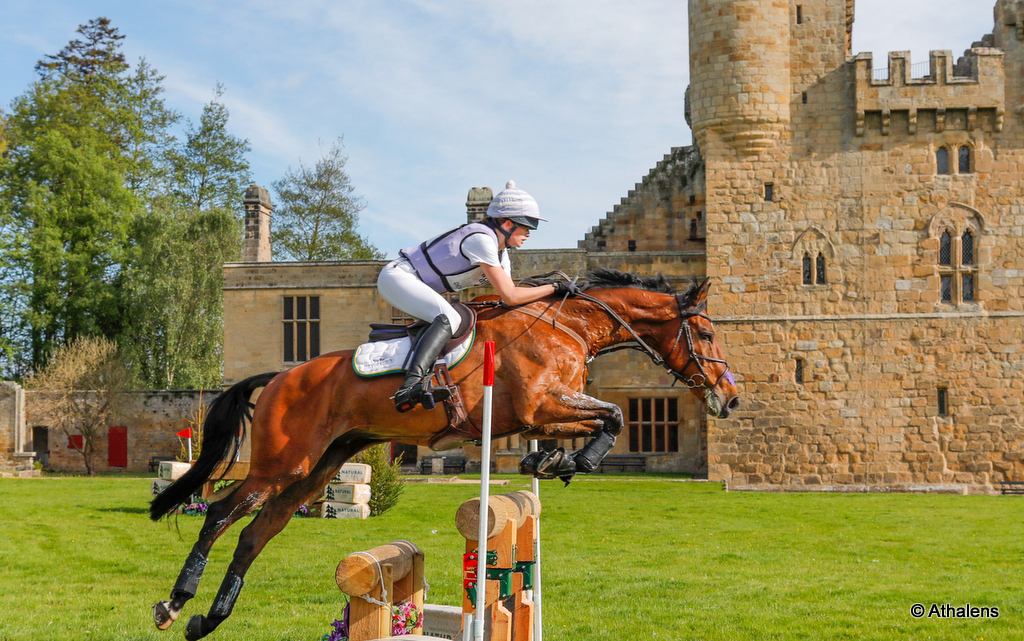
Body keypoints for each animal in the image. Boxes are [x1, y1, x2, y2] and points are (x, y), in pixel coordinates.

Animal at [148, 268, 739, 640]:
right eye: (707, 332)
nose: (729, 398)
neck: (568, 327)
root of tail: (280, 376)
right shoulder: (540, 405)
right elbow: (614, 415)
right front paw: (566, 462)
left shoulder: (547, 412)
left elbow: (605, 419)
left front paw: (551, 463)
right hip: (283, 462)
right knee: (219, 513)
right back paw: (174, 603)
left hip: (319, 468)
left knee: (255, 532)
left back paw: (207, 620)